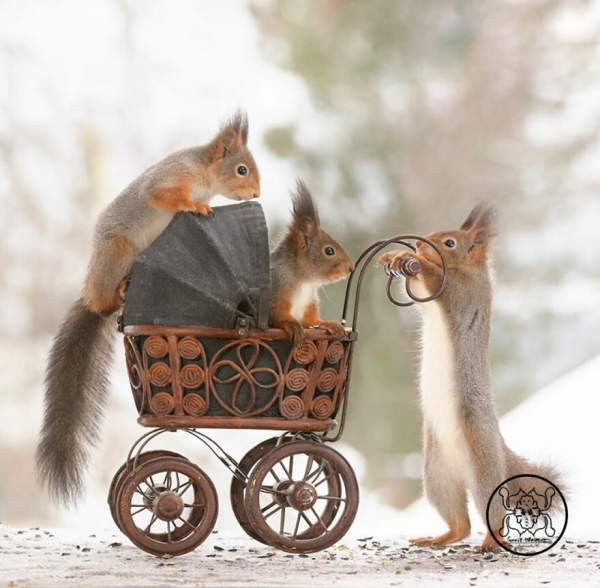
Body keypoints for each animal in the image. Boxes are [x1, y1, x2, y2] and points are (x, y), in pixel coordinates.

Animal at [37, 111, 260, 506]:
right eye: (242, 170)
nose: (256, 194)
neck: (204, 170)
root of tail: (93, 292)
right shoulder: (173, 177)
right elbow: (162, 194)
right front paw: (195, 206)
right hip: (117, 250)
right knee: (105, 300)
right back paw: (116, 295)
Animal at [270, 179, 354, 344]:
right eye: (329, 251)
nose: (351, 267)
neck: (305, 282)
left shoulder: (308, 301)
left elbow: (312, 321)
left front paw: (329, 324)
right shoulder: (274, 291)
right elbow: (276, 313)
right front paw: (293, 325)